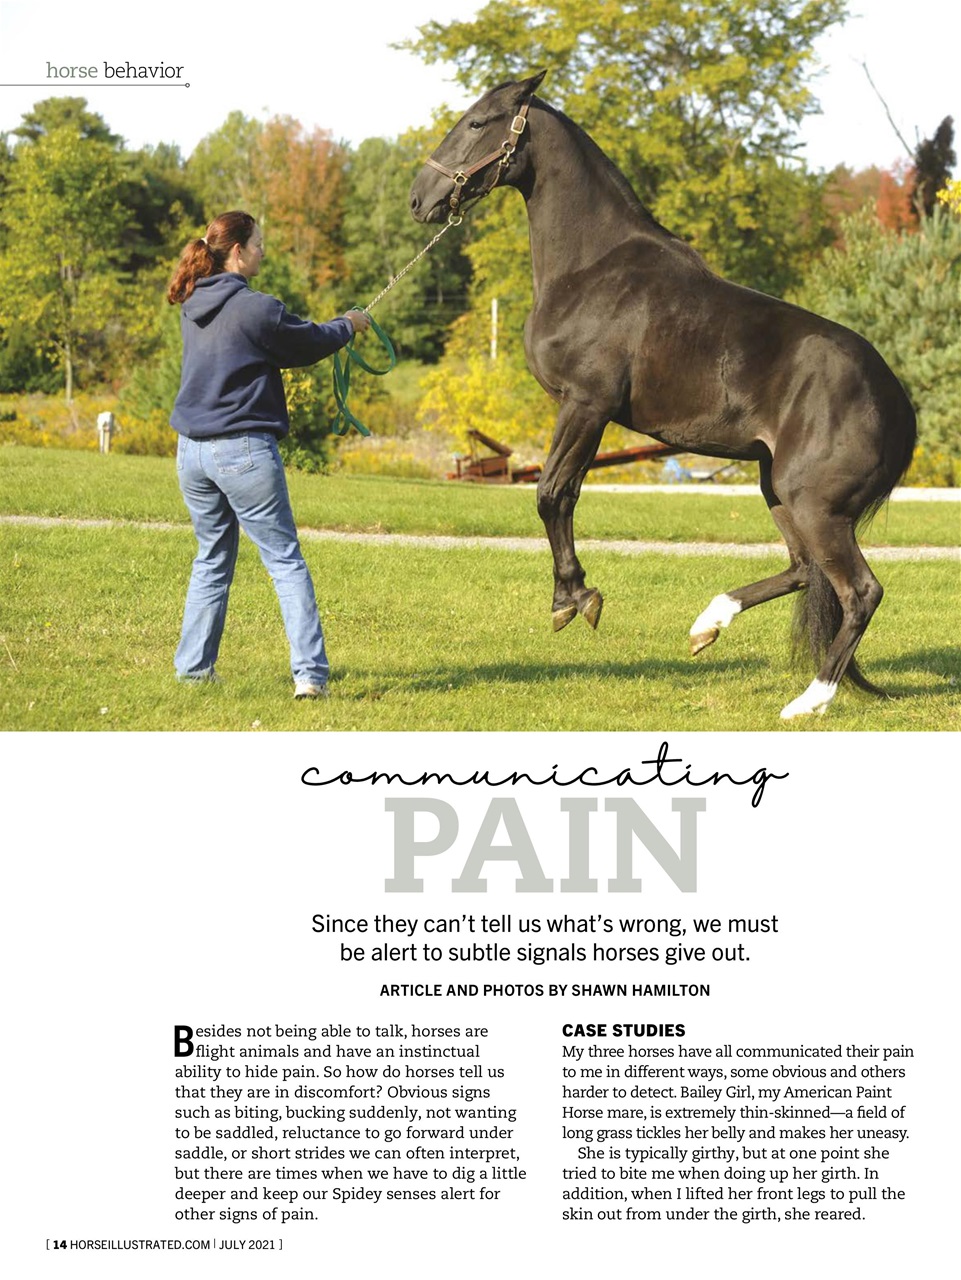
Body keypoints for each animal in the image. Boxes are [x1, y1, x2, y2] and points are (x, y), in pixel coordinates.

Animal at [409, 71, 917, 720]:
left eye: (478, 122)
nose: (418, 199)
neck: (592, 266)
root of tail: (895, 401)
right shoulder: (587, 412)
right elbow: (563, 495)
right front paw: (575, 595)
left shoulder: (586, 404)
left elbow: (552, 495)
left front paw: (573, 598)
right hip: (779, 490)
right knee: (805, 570)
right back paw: (707, 626)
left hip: (814, 506)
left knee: (859, 591)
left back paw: (808, 701)